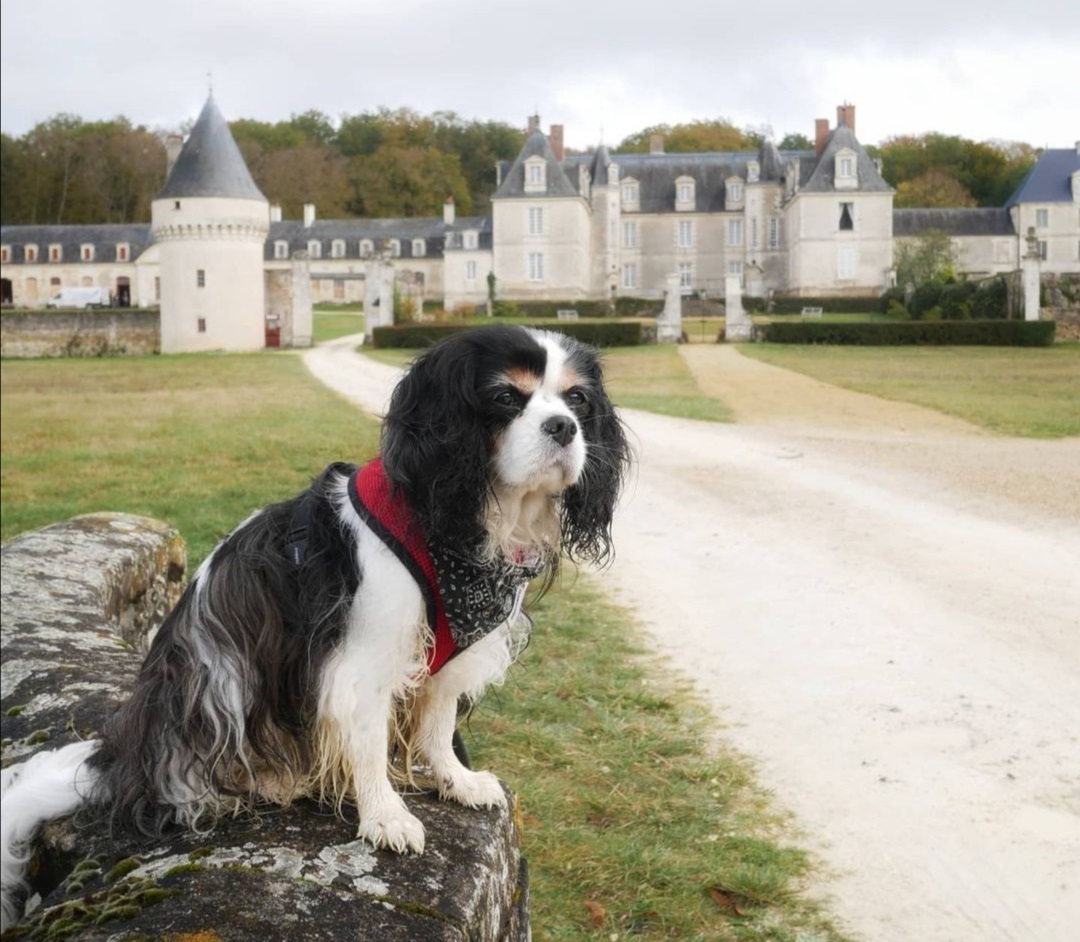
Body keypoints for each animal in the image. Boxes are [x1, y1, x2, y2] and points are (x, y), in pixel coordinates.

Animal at [0, 324, 630, 929]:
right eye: (504, 397)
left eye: (577, 400)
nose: (564, 427)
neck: (457, 525)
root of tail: (122, 762)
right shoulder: (362, 660)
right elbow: (370, 744)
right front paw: (385, 814)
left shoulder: (446, 658)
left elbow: (436, 722)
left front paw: (455, 780)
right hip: (219, 678)